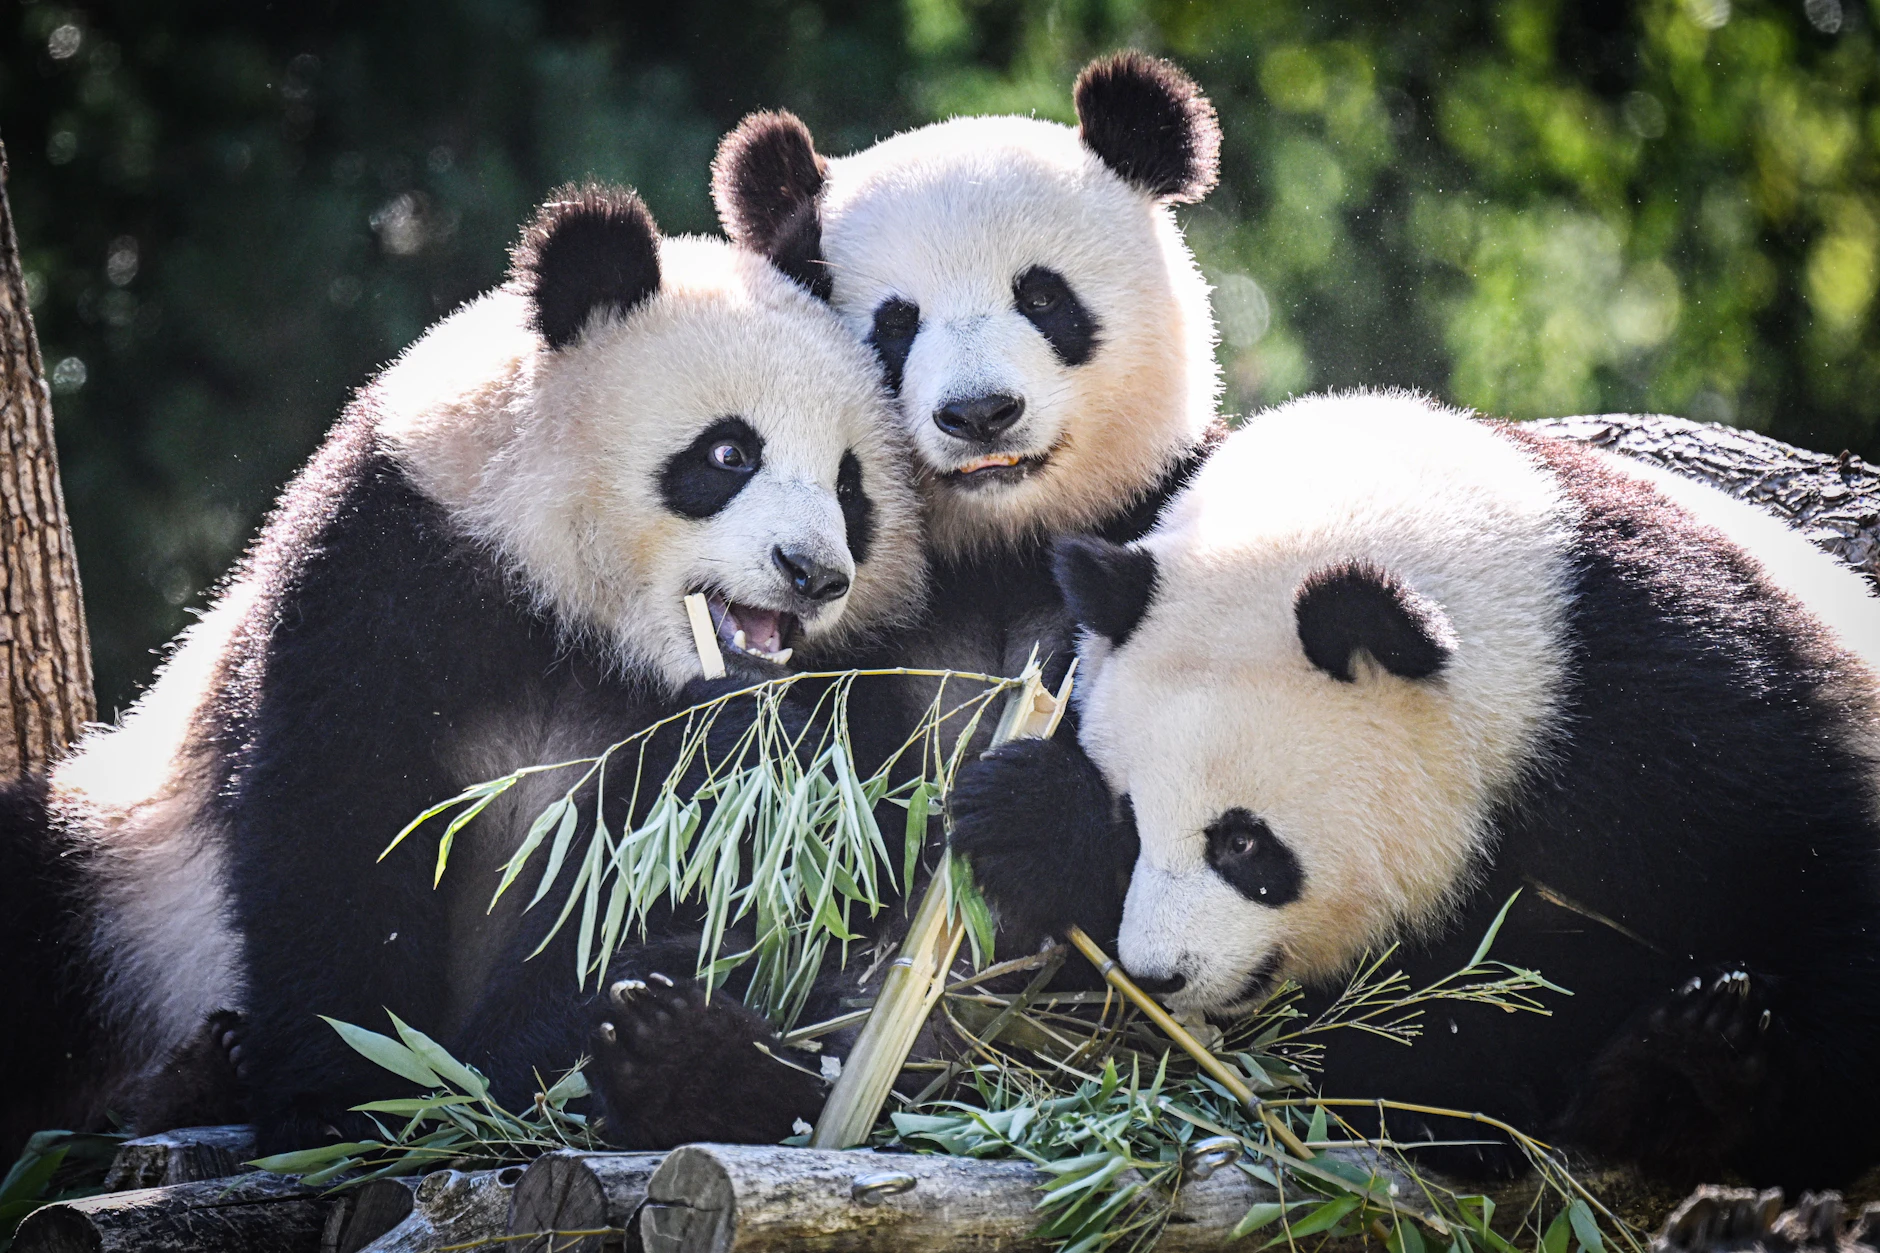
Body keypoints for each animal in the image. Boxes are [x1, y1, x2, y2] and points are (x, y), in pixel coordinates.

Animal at [0, 184, 926, 1158]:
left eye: (852, 487)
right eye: (728, 454)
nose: (812, 572)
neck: (589, 624)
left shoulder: (846, 700)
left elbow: (706, 876)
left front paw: (502, 1076)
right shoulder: (398, 555)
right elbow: (341, 815)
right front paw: (345, 1096)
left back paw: (684, 1065)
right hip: (120, 877)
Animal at [948, 390, 1880, 1188]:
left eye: (1243, 842)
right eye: (1131, 822)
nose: (1159, 973)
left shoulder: (1681, 707)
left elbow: (1816, 902)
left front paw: (1700, 1066)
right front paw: (1027, 817)